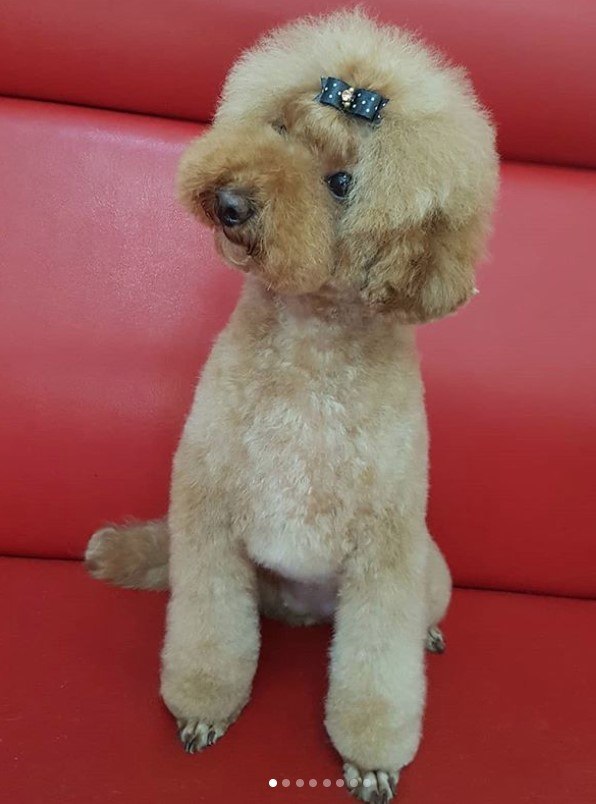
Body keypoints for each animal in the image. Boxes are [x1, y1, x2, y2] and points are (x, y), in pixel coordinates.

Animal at [85, 9, 498, 800]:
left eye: (341, 183)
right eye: (279, 127)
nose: (232, 202)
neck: (309, 346)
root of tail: (304, 618)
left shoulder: (386, 550)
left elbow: (377, 672)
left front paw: (371, 758)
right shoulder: (207, 509)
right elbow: (209, 631)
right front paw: (204, 709)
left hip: (426, 567)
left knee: (421, 614)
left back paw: (429, 633)